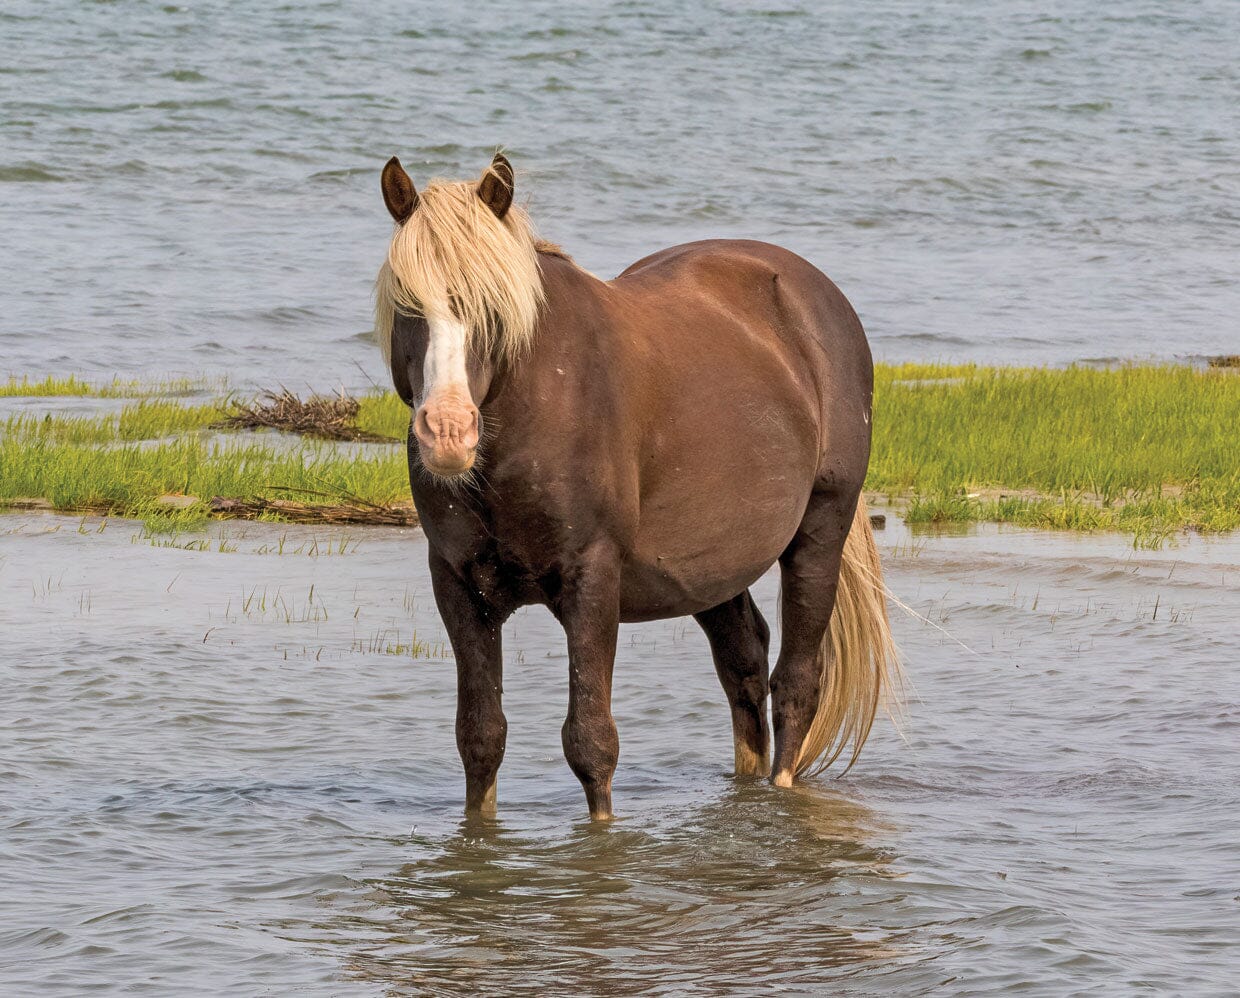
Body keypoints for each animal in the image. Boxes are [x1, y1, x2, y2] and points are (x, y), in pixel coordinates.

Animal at [374, 152, 901, 820]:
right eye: (408, 303)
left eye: (492, 308)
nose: (448, 432)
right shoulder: (460, 585)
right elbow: (480, 737)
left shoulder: (593, 577)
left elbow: (590, 742)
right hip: (712, 565)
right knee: (745, 666)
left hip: (821, 528)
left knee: (796, 684)